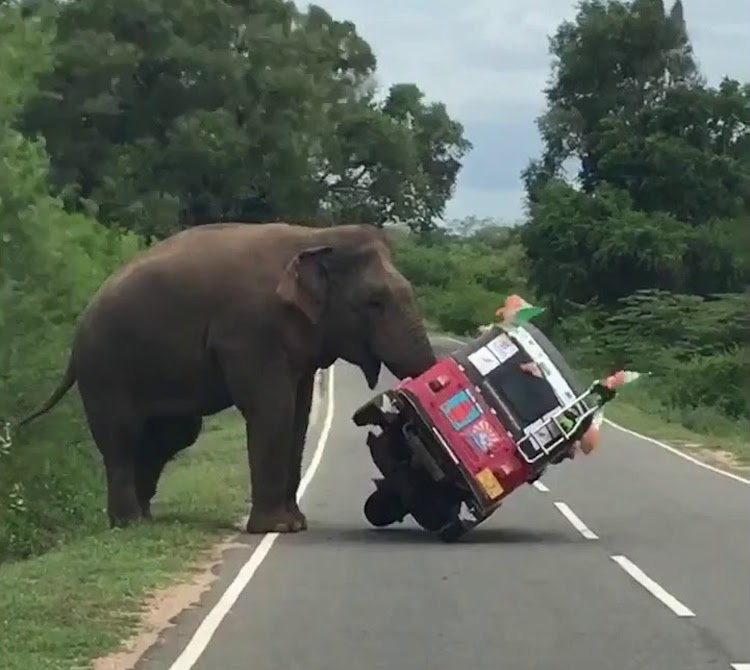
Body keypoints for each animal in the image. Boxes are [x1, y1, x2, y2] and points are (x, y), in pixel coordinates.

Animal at [16, 224, 434, 536]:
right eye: (374, 302)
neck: (315, 236)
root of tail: (75, 335)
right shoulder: (251, 332)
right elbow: (272, 409)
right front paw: (278, 528)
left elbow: (298, 414)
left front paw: (296, 524)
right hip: (105, 369)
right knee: (122, 437)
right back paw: (128, 524)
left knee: (171, 434)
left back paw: (146, 520)